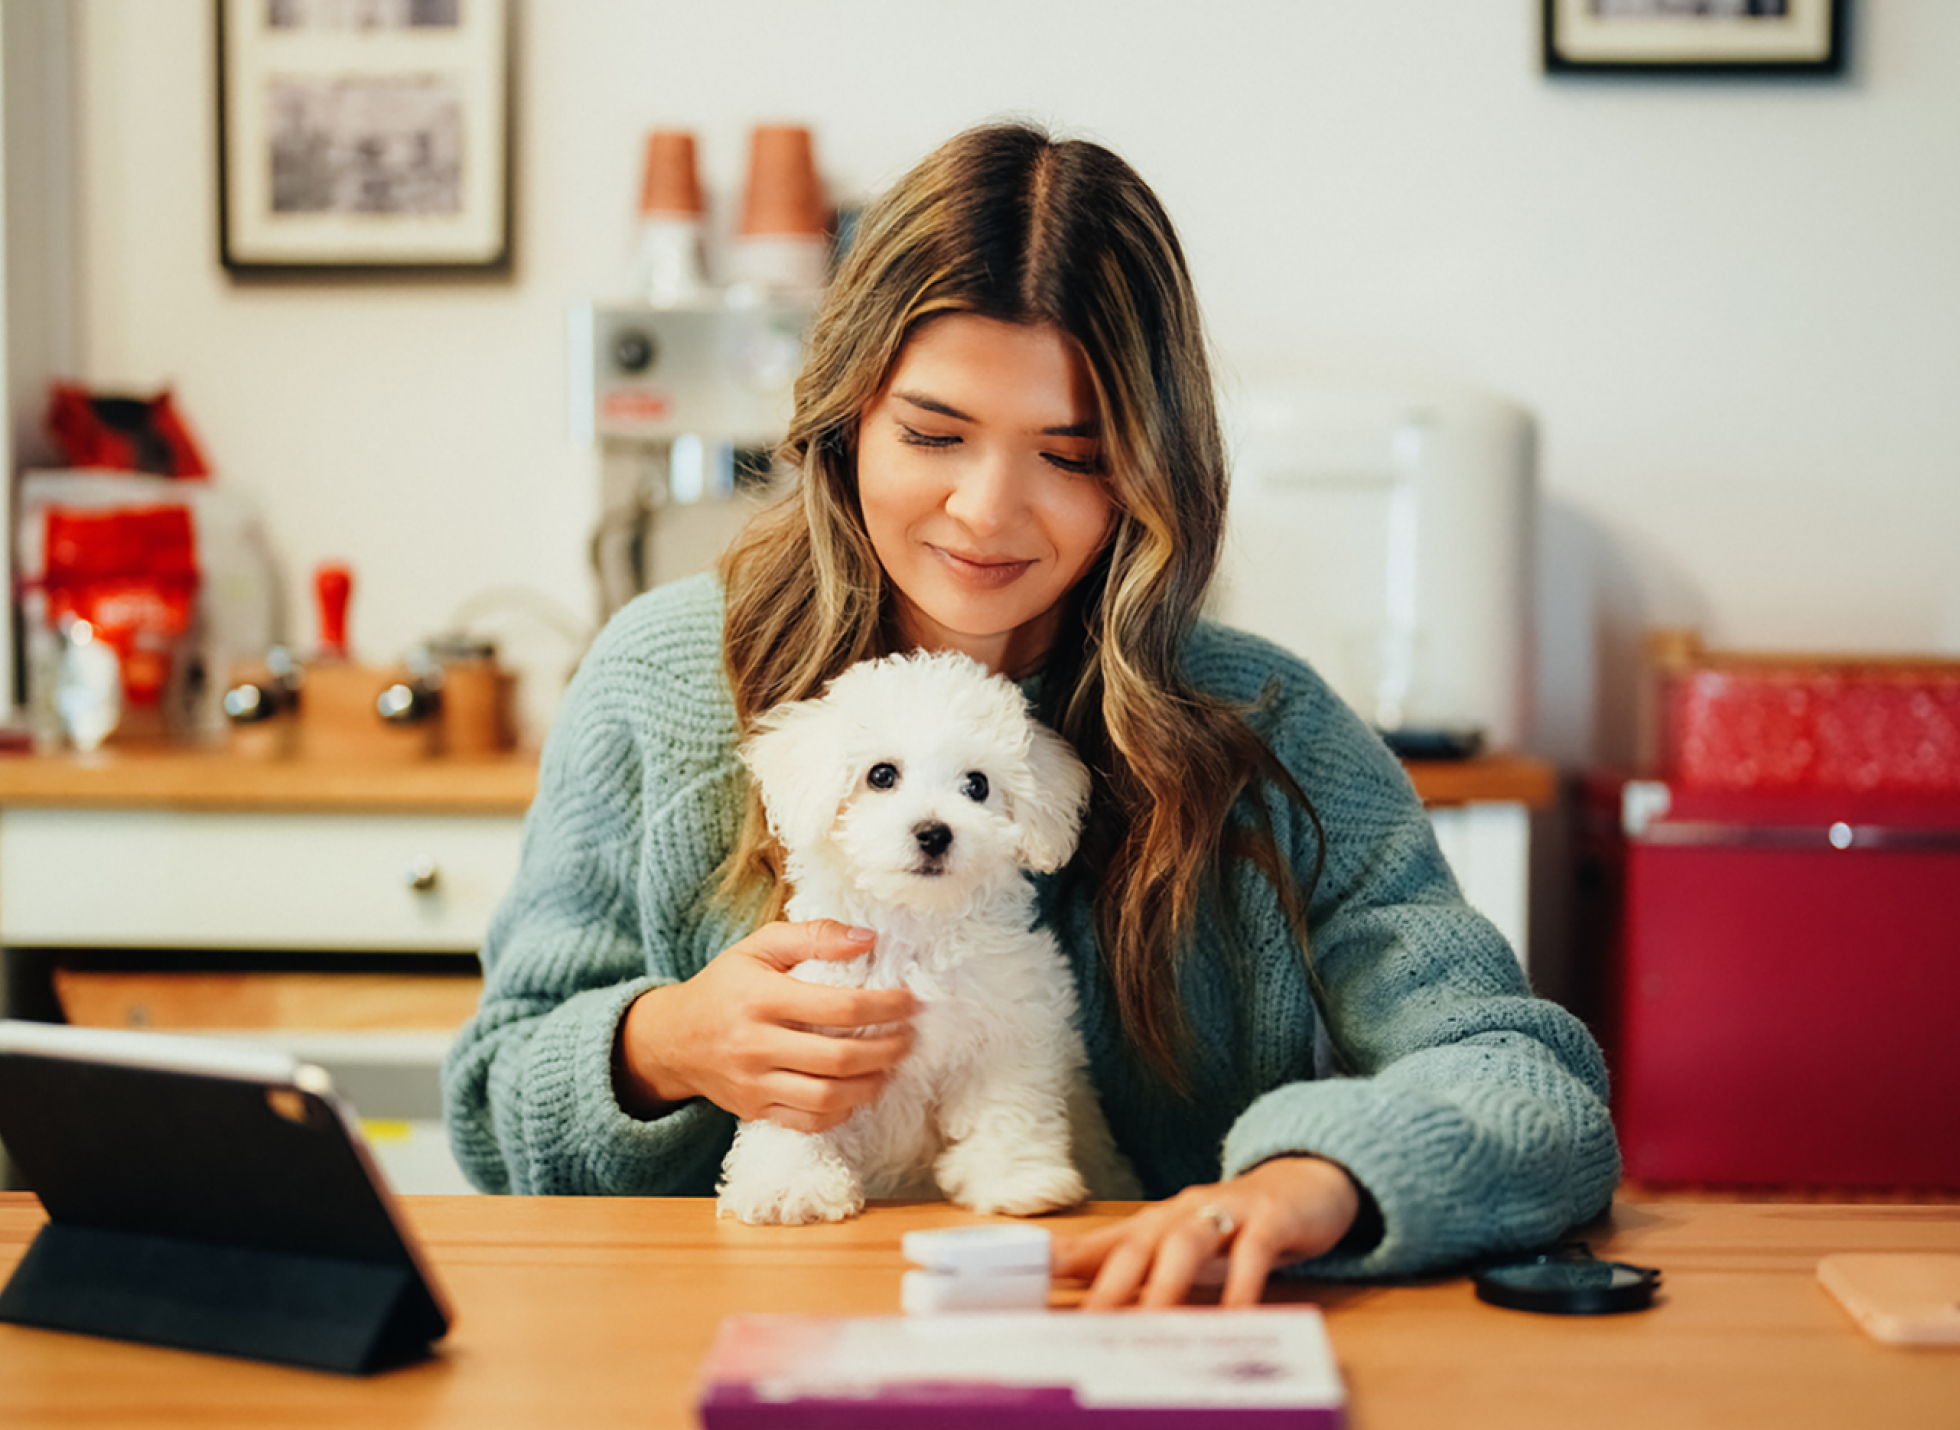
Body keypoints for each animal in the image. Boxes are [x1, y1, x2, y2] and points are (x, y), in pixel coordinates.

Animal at [717, 642, 1144, 1214]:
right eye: (881, 775)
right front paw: (790, 1182)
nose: (934, 833)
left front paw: (1016, 1178)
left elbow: (1007, 1108)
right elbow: (792, 1111)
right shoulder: (804, 1032)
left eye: (977, 785)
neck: (913, 928)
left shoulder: (1008, 1028)